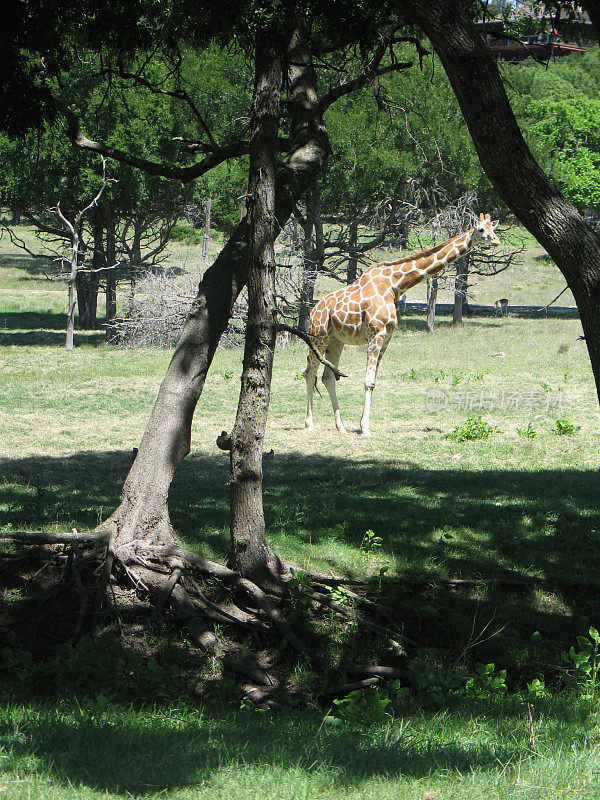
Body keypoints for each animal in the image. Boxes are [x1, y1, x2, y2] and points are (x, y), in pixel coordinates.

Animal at [304, 212, 502, 438]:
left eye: (493, 228)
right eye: (481, 229)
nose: (496, 240)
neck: (396, 285)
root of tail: (312, 311)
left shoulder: (387, 336)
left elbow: (373, 382)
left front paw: (363, 426)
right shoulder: (376, 333)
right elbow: (368, 381)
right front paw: (365, 429)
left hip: (336, 341)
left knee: (328, 376)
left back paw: (341, 427)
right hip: (318, 337)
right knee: (309, 373)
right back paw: (309, 424)